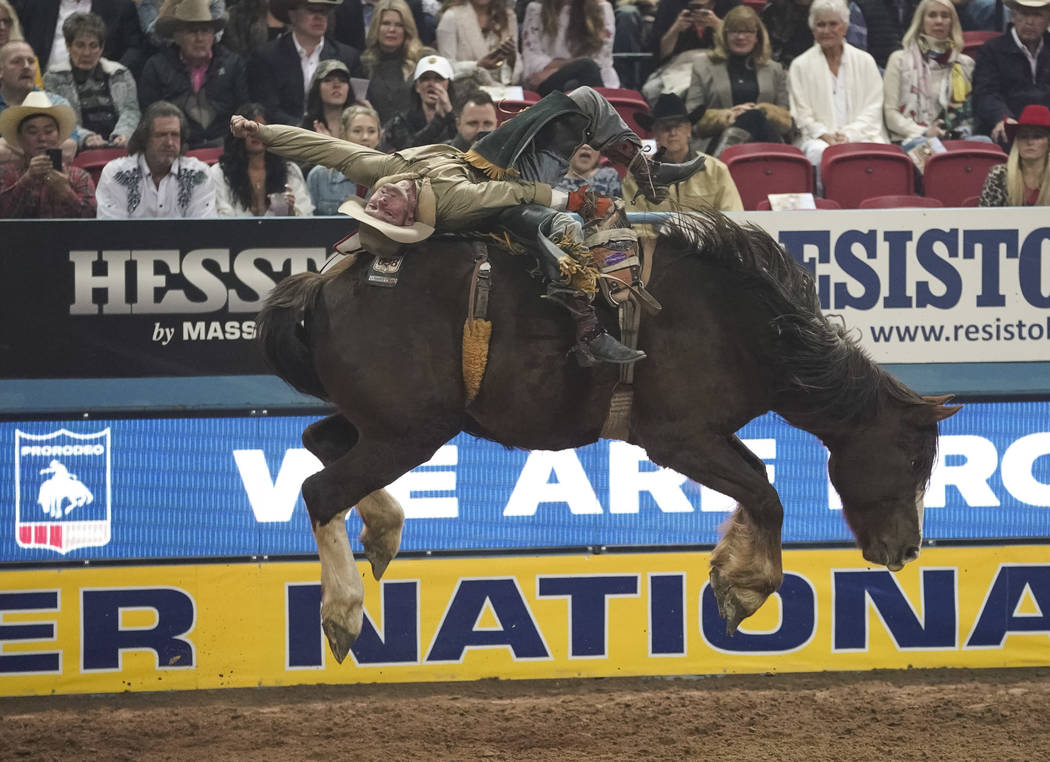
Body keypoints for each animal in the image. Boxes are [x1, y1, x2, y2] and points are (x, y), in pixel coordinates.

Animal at [256, 209, 961, 663]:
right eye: (911, 458)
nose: (907, 548)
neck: (738, 326)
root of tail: (323, 282)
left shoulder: (708, 438)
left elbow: (756, 486)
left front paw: (731, 570)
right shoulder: (678, 438)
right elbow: (764, 491)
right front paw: (745, 587)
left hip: (390, 424)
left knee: (321, 443)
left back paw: (381, 532)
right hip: (409, 431)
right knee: (321, 490)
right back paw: (343, 611)